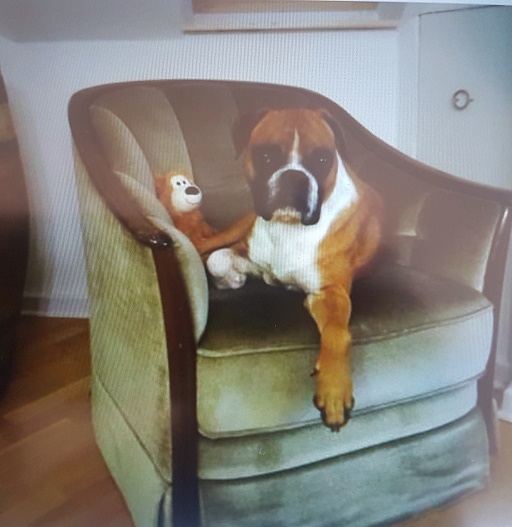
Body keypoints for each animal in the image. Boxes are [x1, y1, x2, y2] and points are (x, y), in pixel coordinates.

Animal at [205, 108, 382, 431]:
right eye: (266, 155)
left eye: (322, 159)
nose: (294, 177)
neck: (288, 229)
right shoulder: (252, 257)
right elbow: (217, 259)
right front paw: (230, 279)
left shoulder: (329, 293)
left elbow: (338, 334)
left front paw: (334, 389)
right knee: (204, 245)